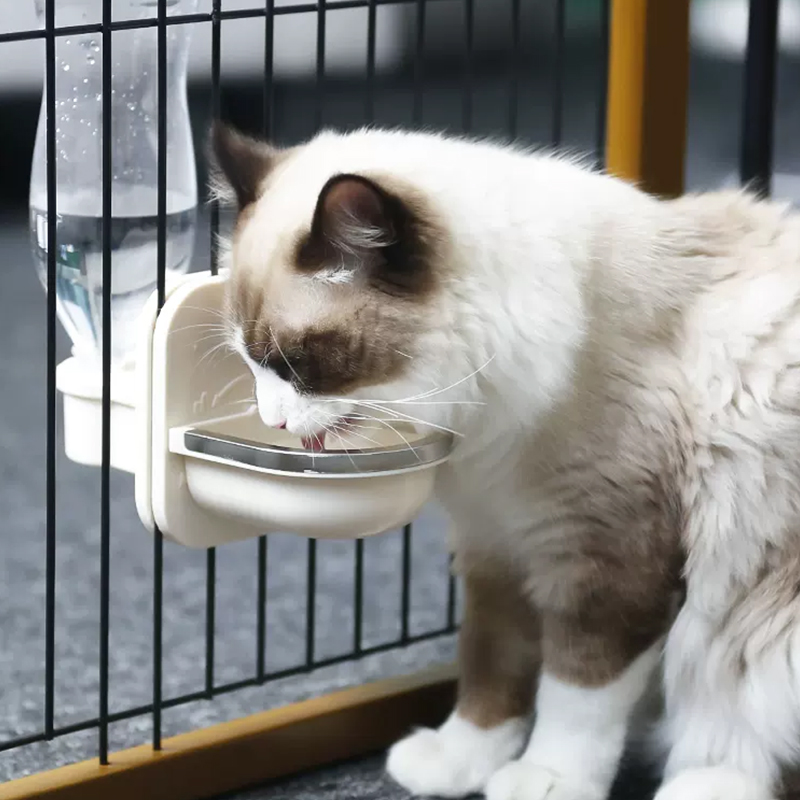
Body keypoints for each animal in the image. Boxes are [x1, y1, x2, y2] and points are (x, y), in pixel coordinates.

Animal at [209, 120, 800, 800]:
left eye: (296, 364)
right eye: (250, 363)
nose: (273, 421)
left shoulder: (605, 563)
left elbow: (576, 697)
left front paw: (545, 778)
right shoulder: (495, 541)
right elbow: (491, 662)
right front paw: (460, 759)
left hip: (773, 626)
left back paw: (707, 784)